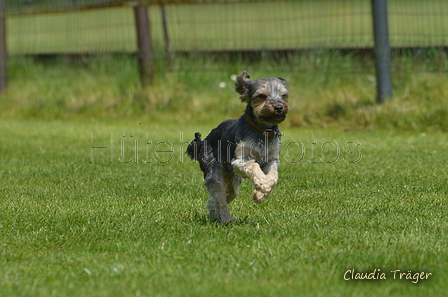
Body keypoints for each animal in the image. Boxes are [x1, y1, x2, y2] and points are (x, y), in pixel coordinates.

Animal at [186, 70, 288, 222]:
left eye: (284, 95)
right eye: (262, 96)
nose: (279, 107)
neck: (262, 130)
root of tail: (203, 141)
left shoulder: (272, 159)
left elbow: (273, 176)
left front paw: (260, 194)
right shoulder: (240, 160)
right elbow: (254, 166)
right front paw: (262, 184)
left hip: (233, 181)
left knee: (219, 198)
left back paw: (214, 211)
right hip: (214, 171)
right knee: (220, 197)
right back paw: (226, 219)